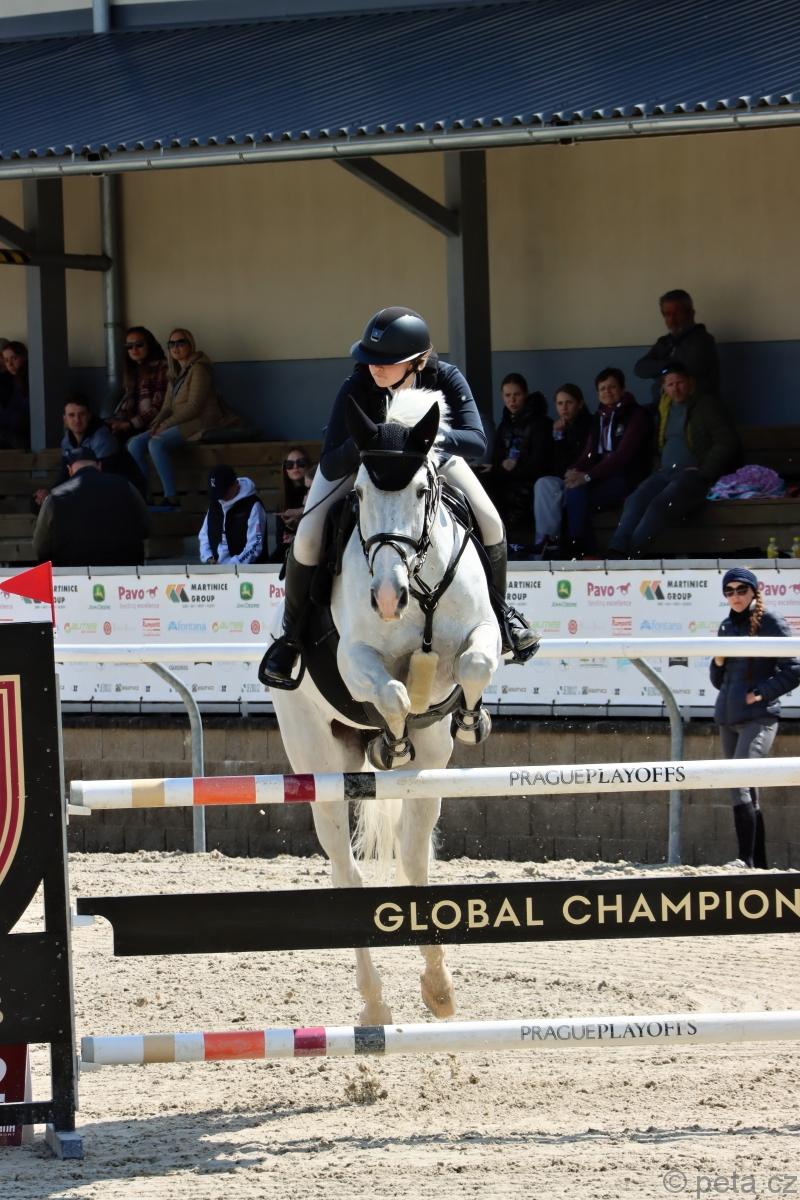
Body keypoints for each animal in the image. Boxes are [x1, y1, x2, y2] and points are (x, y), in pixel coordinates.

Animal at [269, 389, 502, 1024]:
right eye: (360, 496)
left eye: (423, 492)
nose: (387, 598)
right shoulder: (355, 659)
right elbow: (393, 692)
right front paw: (392, 735)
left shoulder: (481, 633)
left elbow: (474, 664)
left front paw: (470, 717)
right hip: (318, 761)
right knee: (345, 872)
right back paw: (375, 1005)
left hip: (431, 773)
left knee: (414, 859)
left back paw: (439, 989)